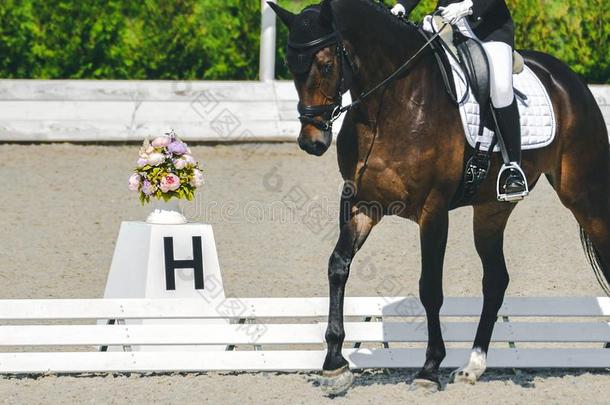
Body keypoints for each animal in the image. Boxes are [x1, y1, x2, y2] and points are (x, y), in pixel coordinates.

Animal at [270, 0, 608, 392]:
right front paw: (334, 365)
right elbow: (338, 266)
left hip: (584, 195)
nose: (312, 141)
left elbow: (430, 286)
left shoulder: (433, 210)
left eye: (326, 65)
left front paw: (429, 368)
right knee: (496, 279)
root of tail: (570, 80)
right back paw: (472, 367)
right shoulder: (361, 202)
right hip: (491, 210)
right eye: (290, 66)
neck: (391, 102)